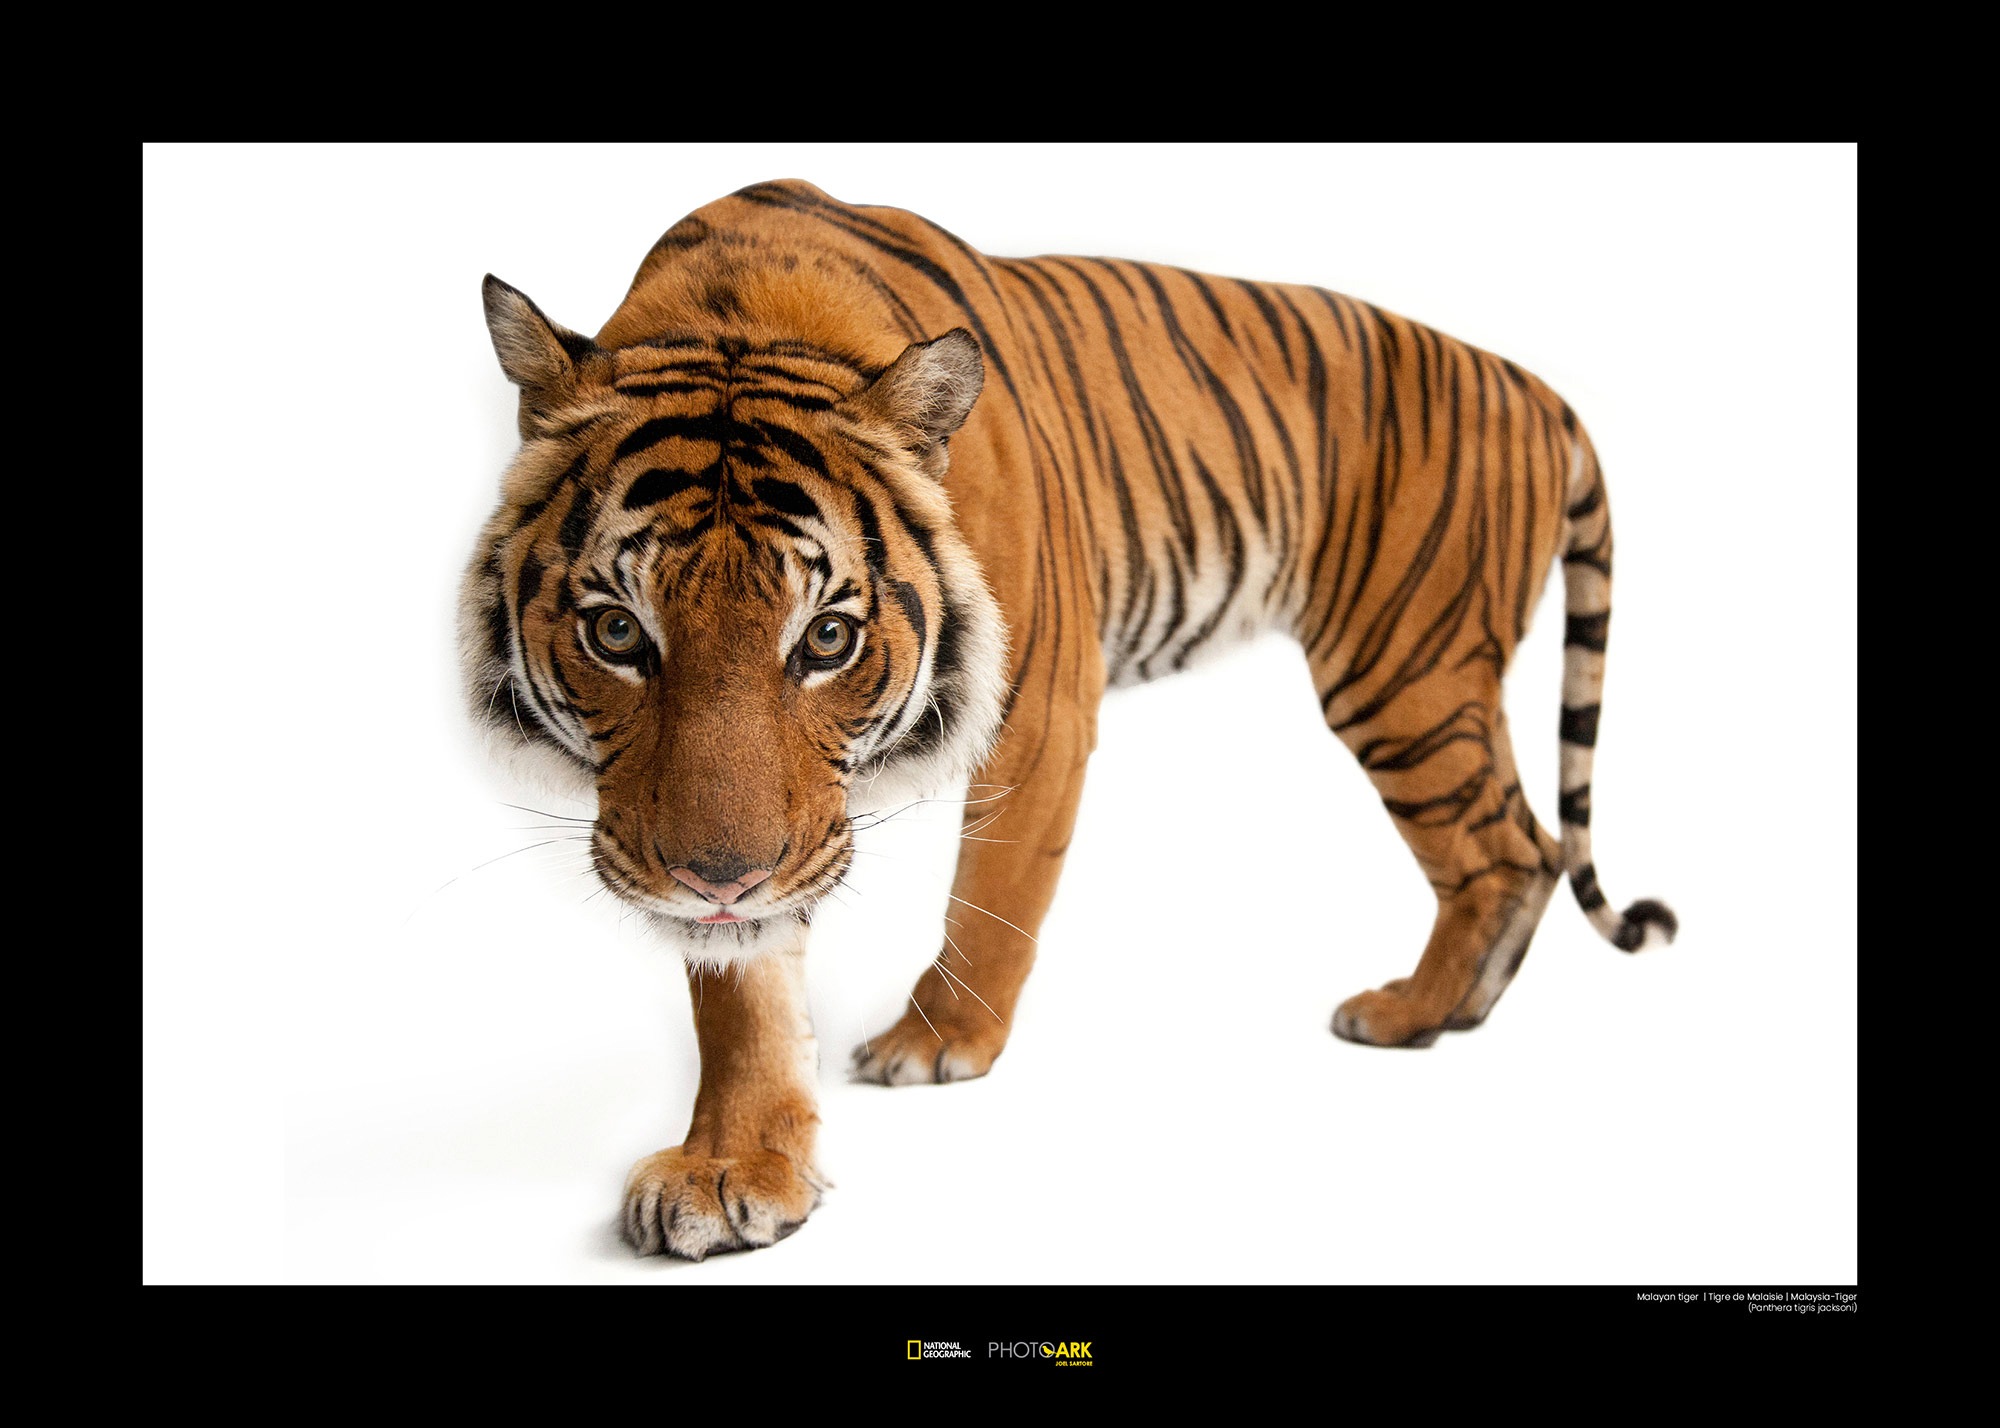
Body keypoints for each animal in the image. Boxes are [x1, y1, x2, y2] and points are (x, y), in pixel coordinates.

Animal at [461, 178, 1676, 1260]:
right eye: (618, 632)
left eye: (827, 639)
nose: (717, 879)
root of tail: (1532, 384)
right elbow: (742, 989)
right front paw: (733, 1168)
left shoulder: (1038, 707)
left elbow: (993, 892)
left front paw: (933, 1046)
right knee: (1526, 845)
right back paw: (1455, 1010)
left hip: (1404, 673)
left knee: (1503, 847)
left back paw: (1407, 1014)